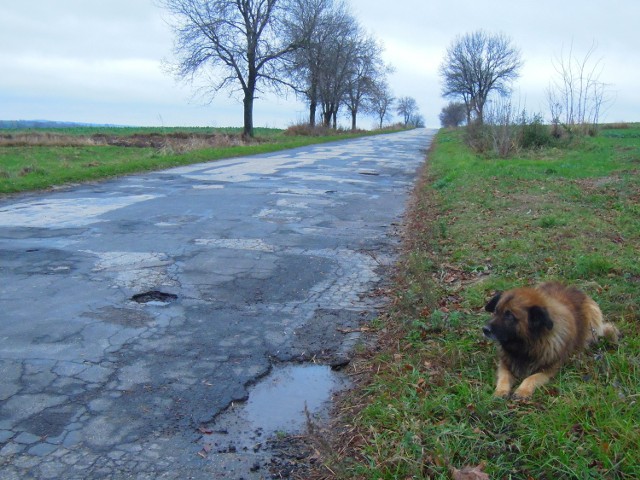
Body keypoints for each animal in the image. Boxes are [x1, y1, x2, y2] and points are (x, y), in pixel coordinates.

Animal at [482, 282, 616, 398]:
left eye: (509, 315)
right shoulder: (505, 363)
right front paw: (500, 391)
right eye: (495, 311)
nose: (484, 329)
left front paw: (522, 390)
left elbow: (531, 377)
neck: (527, 344)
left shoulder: (549, 369)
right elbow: (504, 377)